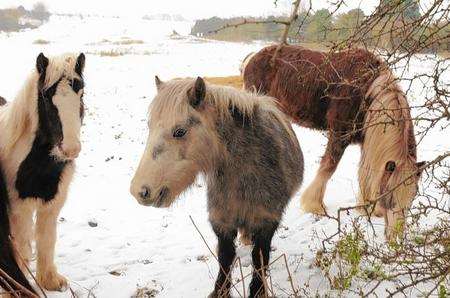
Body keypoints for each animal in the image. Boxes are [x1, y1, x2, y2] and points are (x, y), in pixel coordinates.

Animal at [0, 51, 85, 292]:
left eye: (81, 93)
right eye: (46, 97)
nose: (71, 149)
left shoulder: (53, 203)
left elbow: (47, 239)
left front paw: (50, 281)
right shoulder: (18, 209)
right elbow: (20, 248)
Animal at [244, 44, 424, 240]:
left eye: (412, 197)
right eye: (390, 196)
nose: (395, 239)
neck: (367, 90)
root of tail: (253, 57)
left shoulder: (366, 141)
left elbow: (366, 171)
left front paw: (367, 206)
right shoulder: (339, 134)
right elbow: (328, 167)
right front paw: (314, 205)